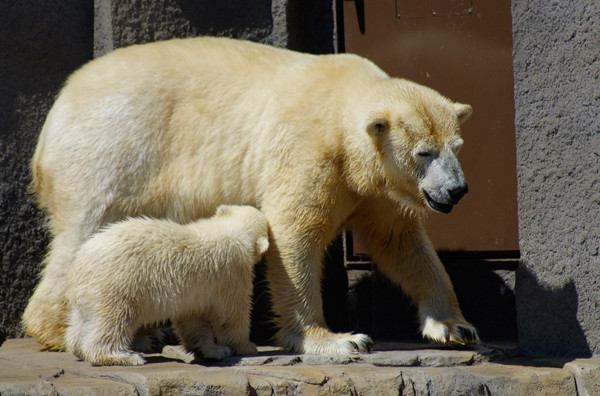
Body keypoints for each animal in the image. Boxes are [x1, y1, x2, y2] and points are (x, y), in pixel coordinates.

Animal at [23, 35, 478, 354]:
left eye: (456, 147)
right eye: (424, 153)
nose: (457, 190)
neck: (341, 106)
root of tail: (53, 117)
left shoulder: (372, 185)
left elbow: (398, 241)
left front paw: (455, 326)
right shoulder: (307, 149)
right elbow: (295, 232)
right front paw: (337, 339)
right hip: (111, 153)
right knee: (85, 232)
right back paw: (71, 332)